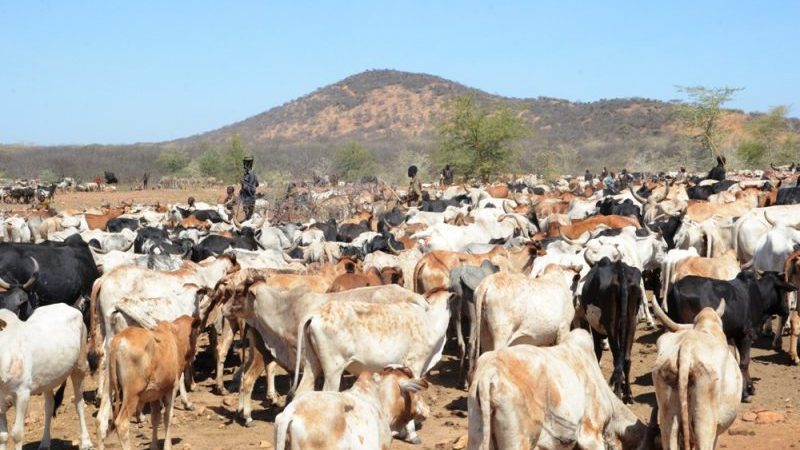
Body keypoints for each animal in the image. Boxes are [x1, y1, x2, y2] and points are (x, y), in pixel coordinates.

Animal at [0, 302, 93, 450]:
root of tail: (66, 306)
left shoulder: (22, 394)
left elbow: (17, 434)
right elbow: (3, 436)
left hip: (79, 367)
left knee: (79, 404)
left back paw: (86, 442)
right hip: (48, 380)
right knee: (49, 407)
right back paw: (45, 443)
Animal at [580, 256, 640, 404]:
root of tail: (620, 270)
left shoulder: (595, 327)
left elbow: (597, 352)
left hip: (611, 325)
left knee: (617, 358)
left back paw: (617, 393)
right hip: (632, 323)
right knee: (626, 359)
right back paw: (628, 394)